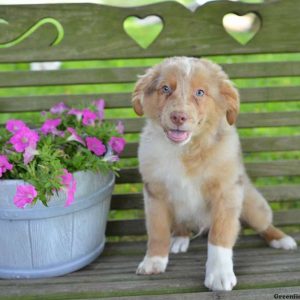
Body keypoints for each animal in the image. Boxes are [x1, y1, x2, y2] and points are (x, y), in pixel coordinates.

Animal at [132, 56, 298, 290]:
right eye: (165, 88)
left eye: (200, 92)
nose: (178, 117)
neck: (186, 150)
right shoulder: (155, 193)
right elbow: (157, 231)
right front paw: (154, 260)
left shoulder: (226, 193)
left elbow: (220, 236)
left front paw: (219, 274)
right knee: (181, 226)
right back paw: (180, 238)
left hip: (253, 205)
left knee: (264, 224)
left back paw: (282, 239)